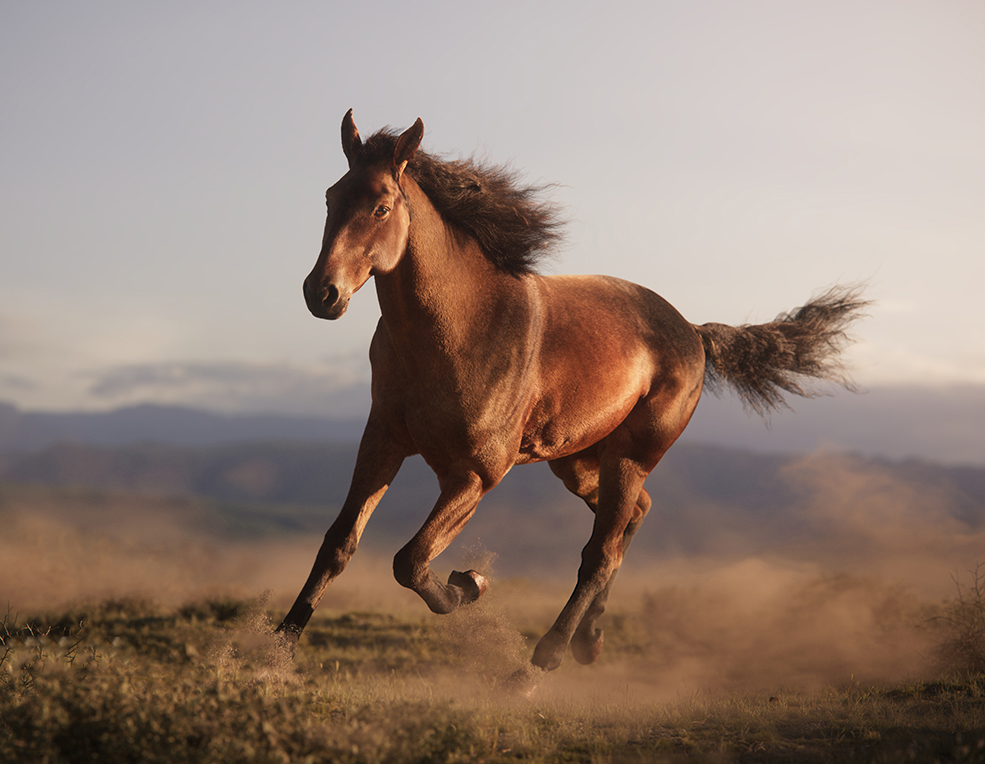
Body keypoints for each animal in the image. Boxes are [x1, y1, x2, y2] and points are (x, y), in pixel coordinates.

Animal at [277, 110, 868, 682]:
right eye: (330, 197)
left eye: (380, 206)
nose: (321, 293)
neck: (458, 329)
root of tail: (693, 332)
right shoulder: (383, 441)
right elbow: (339, 544)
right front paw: (280, 650)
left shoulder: (476, 474)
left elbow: (411, 560)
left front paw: (471, 583)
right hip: (579, 462)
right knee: (631, 519)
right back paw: (590, 638)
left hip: (629, 457)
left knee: (601, 550)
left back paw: (543, 660)